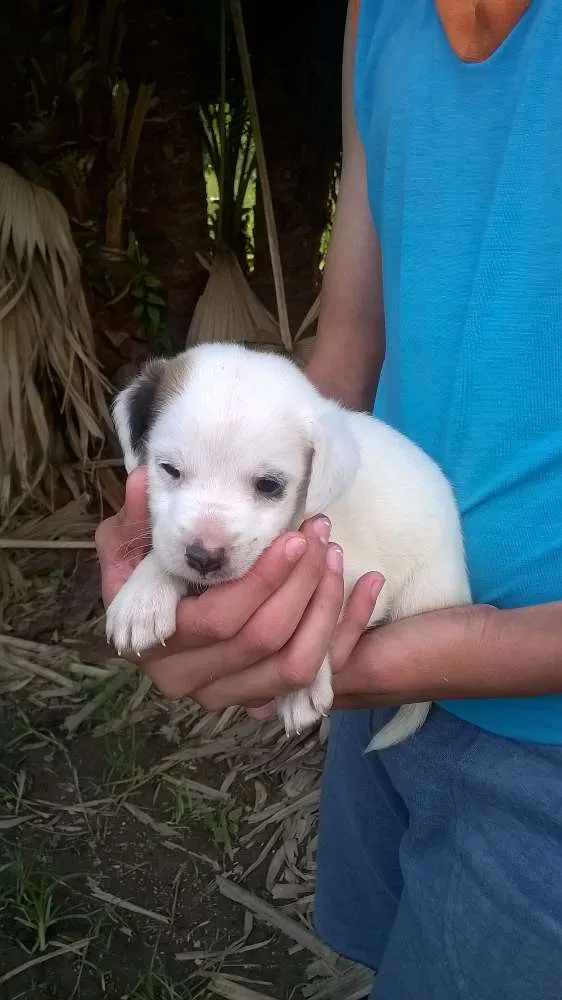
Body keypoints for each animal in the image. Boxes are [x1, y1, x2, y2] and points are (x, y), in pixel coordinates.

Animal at [104, 344, 468, 752]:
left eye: (269, 485)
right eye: (168, 469)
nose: (203, 558)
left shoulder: (359, 579)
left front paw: (301, 687)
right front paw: (142, 596)